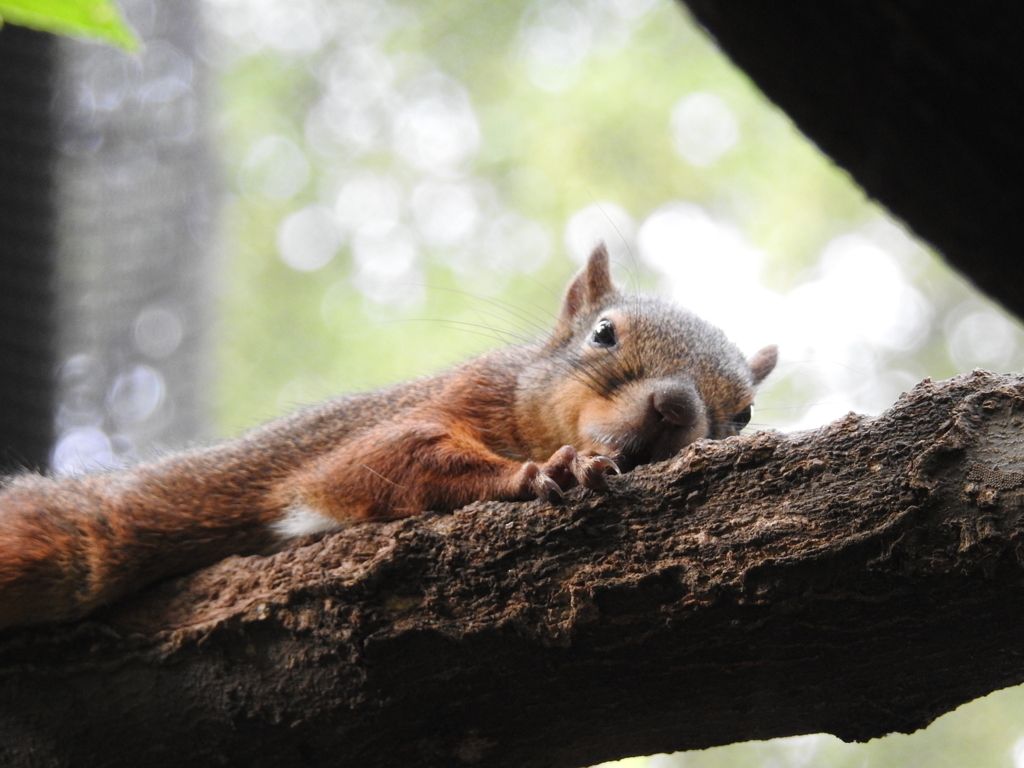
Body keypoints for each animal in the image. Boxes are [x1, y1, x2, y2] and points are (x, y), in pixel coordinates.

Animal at [0, 246, 774, 630]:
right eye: (604, 333)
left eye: (742, 414)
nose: (675, 407)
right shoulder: (450, 399)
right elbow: (375, 462)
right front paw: (542, 473)